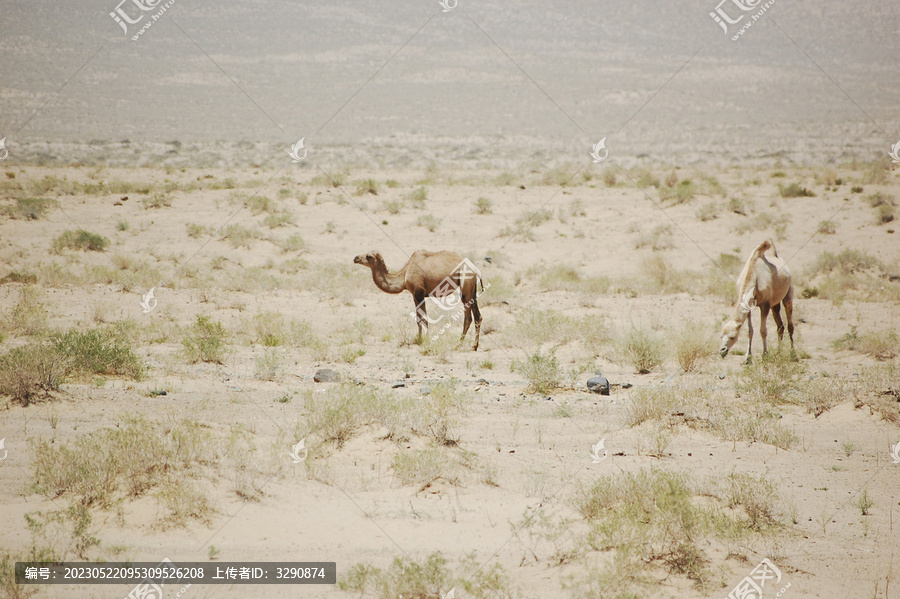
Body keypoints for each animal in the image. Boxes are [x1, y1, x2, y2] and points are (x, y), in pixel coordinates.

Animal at [350, 250, 482, 352]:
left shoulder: (419, 292)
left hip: (465, 286)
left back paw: (458, 345)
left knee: (468, 317)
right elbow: (418, 318)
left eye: (369, 256)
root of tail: (476, 270)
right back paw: (474, 346)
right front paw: (418, 339)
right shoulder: (414, 294)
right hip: (472, 291)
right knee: (477, 316)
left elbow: (424, 317)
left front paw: (426, 340)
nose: (355, 258)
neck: (404, 274)